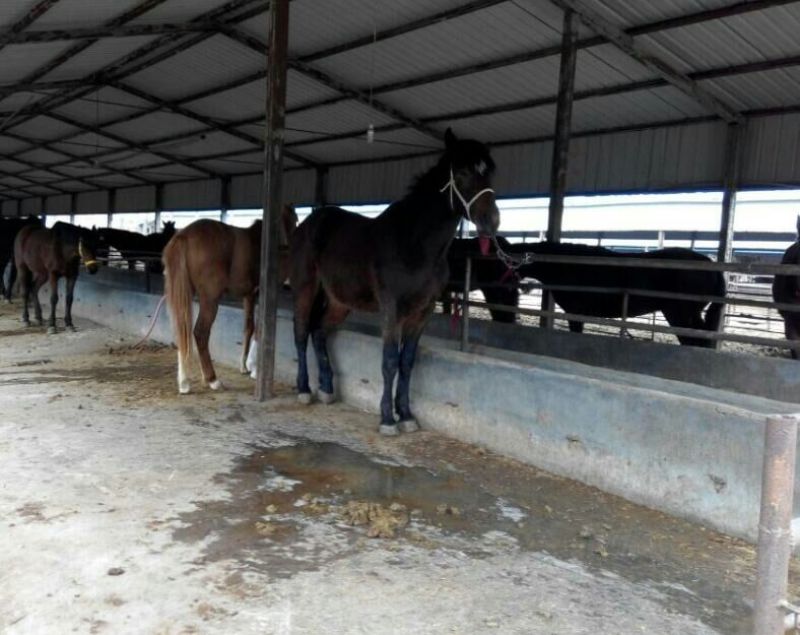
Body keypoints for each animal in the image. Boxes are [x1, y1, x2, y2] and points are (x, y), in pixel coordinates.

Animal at [162, 205, 297, 393]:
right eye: (294, 220)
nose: (289, 245)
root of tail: (183, 236)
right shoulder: (262, 294)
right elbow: (260, 329)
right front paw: (255, 369)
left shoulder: (249, 295)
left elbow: (249, 327)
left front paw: (245, 366)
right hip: (210, 300)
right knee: (200, 333)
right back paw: (213, 380)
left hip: (185, 294)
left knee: (184, 331)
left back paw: (184, 383)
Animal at [289, 128, 500, 435]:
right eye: (461, 172)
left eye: (490, 173)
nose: (491, 221)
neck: (414, 244)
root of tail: (307, 224)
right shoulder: (393, 310)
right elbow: (389, 361)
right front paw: (388, 420)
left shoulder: (422, 312)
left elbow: (407, 361)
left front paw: (408, 416)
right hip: (306, 288)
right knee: (302, 332)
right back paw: (304, 390)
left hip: (340, 301)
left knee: (319, 332)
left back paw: (327, 389)